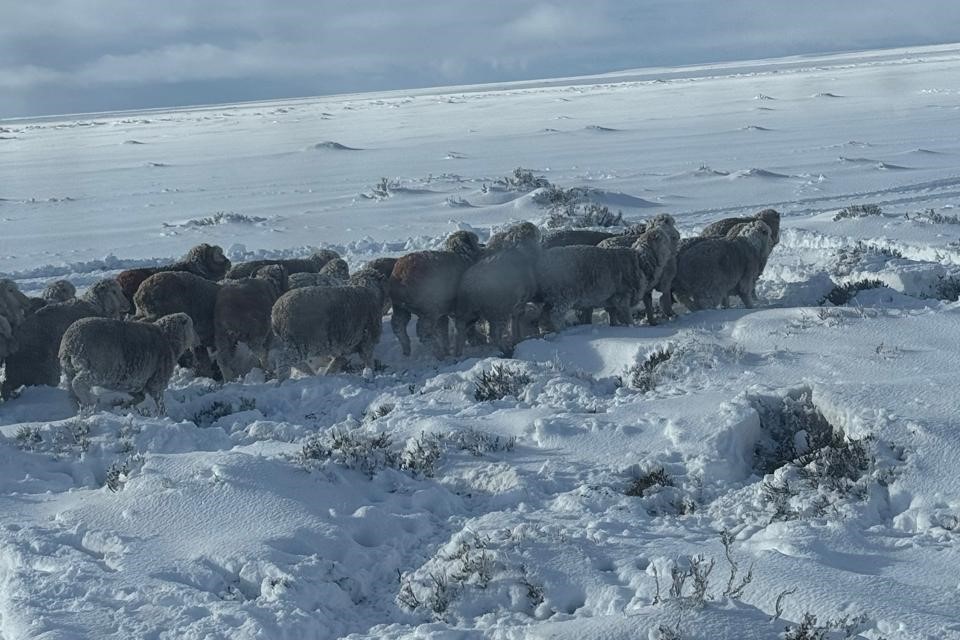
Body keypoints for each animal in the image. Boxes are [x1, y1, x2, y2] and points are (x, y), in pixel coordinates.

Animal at [58, 312, 195, 412]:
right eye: (192, 326)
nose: (197, 340)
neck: (168, 338)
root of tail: (70, 342)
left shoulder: (135, 383)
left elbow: (140, 397)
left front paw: (125, 406)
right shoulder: (157, 381)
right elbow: (159, 403)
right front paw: (163, 417)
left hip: (69, 370)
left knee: (72, 390)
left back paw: (80, 407)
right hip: (97, 370)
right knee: (78, 383)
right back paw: (90, 404)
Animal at [388, 231, 480, 360]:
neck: (462, 255)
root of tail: (401, 275)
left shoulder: (445, 309)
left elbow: (443, 330)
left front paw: (447, 349)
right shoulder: (460, 309)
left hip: (400, 307)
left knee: (398, 325)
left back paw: (406, 349)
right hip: (429, 309)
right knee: (423, 332)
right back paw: (438, 353)